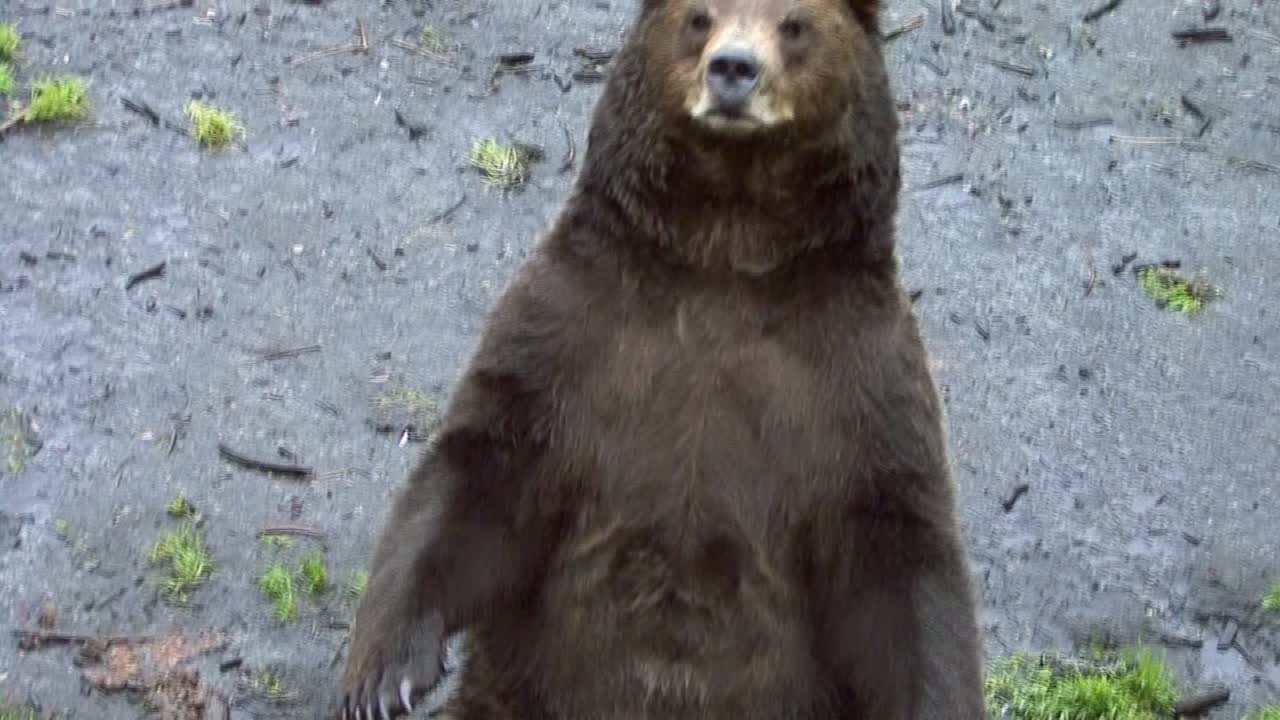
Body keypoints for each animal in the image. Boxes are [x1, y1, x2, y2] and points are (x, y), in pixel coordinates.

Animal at [336, 0, 987, 717]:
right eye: (700, 18)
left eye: (793, 25)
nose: (734, 68)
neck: (726, 249)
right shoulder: (570, 332)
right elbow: (479, 473)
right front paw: (384, 675)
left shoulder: (857, 378)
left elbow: (900, 552)